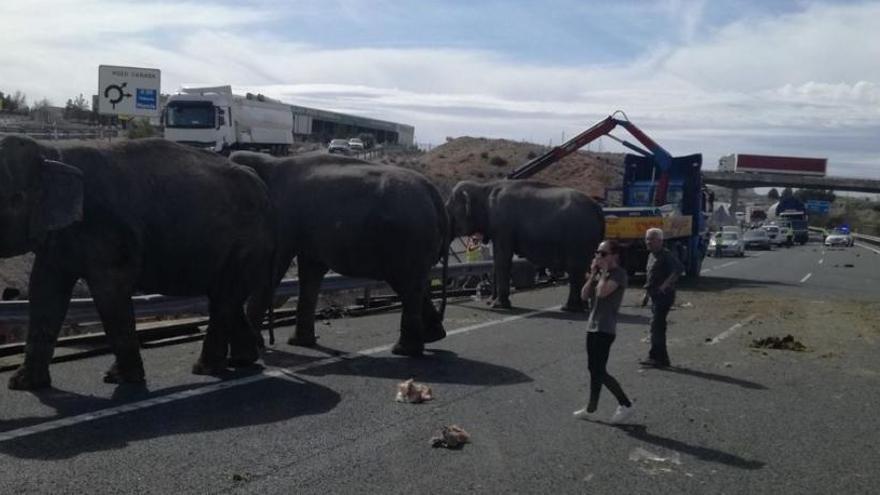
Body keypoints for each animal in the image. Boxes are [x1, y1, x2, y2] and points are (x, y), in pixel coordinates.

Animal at [0, 137, 276, 392]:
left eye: (15, 199)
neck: (53, 153)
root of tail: (262, 187)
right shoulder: (57, 239)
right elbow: (44, 291)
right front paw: (22, 384)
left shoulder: (106, 229)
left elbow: (109, 292)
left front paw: (121, 379)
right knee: (225, 298)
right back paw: (242, 360)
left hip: (245, 243)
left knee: (223, 298)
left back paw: (206, 369)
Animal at [229, 151, 446, 356]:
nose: (271, 344)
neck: (269, 162)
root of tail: (433, 193)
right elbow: (310, 272)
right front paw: (299, 343)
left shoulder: (282, 220)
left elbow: (274, 269)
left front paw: (258, 347)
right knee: (412, 285)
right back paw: (433, 337)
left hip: (409, 238)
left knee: (406, 284)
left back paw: (403, 350)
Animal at [446, 178, 604, 312]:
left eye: (448, 210)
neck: (484, 187)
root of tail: (598, 210)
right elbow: (496, 261)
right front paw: (491, 302)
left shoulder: (503, 226)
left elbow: (503, 259)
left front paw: (499, 306)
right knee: (584, 269)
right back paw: (582, 307)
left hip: (578, 238)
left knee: (575, 270)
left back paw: (568, 308)